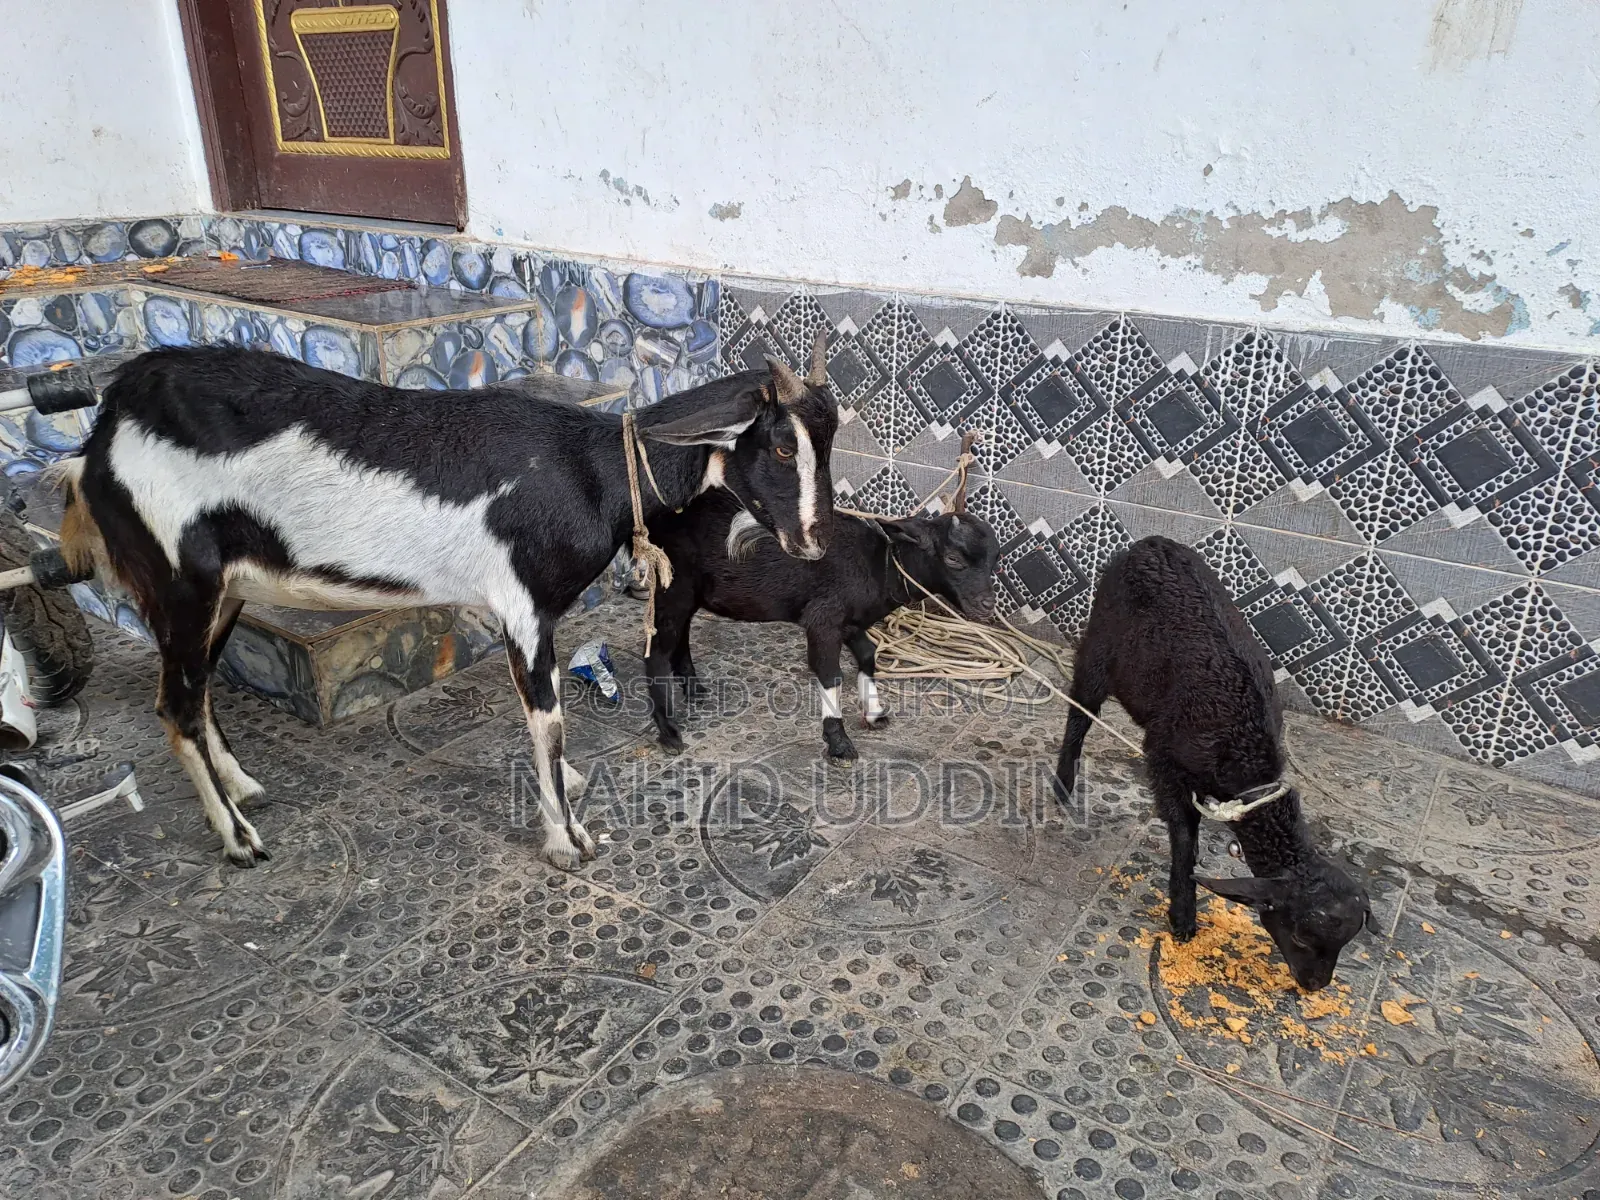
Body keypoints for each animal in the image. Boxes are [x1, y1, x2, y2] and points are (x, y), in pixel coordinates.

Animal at [54, 342, 837, 870]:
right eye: (776, 446)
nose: (815, 539)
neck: (586, 470)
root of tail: (102, 434)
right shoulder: (522, 604)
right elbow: (548, 720)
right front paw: (568, 838)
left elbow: (546, 719)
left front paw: (568, 791)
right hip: (180, 579)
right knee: (174, 707)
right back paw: (239, 840)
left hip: (227, 591)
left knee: (200, 690)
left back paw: (244, 787)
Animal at [643, 491, 999, 761]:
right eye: (953, 559)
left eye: (995, 560)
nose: (987, 605)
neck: (879, 565)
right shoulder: (823, 618)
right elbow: (830, 674)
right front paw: (839, 743)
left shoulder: (851, 621)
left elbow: (868, 655)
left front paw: (874, 712)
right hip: (674, 585)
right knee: (657, 648)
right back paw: (669, 732)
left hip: (691, 591)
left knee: (680, 634)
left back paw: (694, 689)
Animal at [1053, 535, 1373, 992]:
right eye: (1299, 936)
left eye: (1345, 943)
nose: (1314, 985)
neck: (1246, 752)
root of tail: (1150, 543)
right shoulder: (1164, 759)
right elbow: (1184, 835)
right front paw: (1183, 914)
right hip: (1099, 645)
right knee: (1079, 712)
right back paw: (1063, 783)